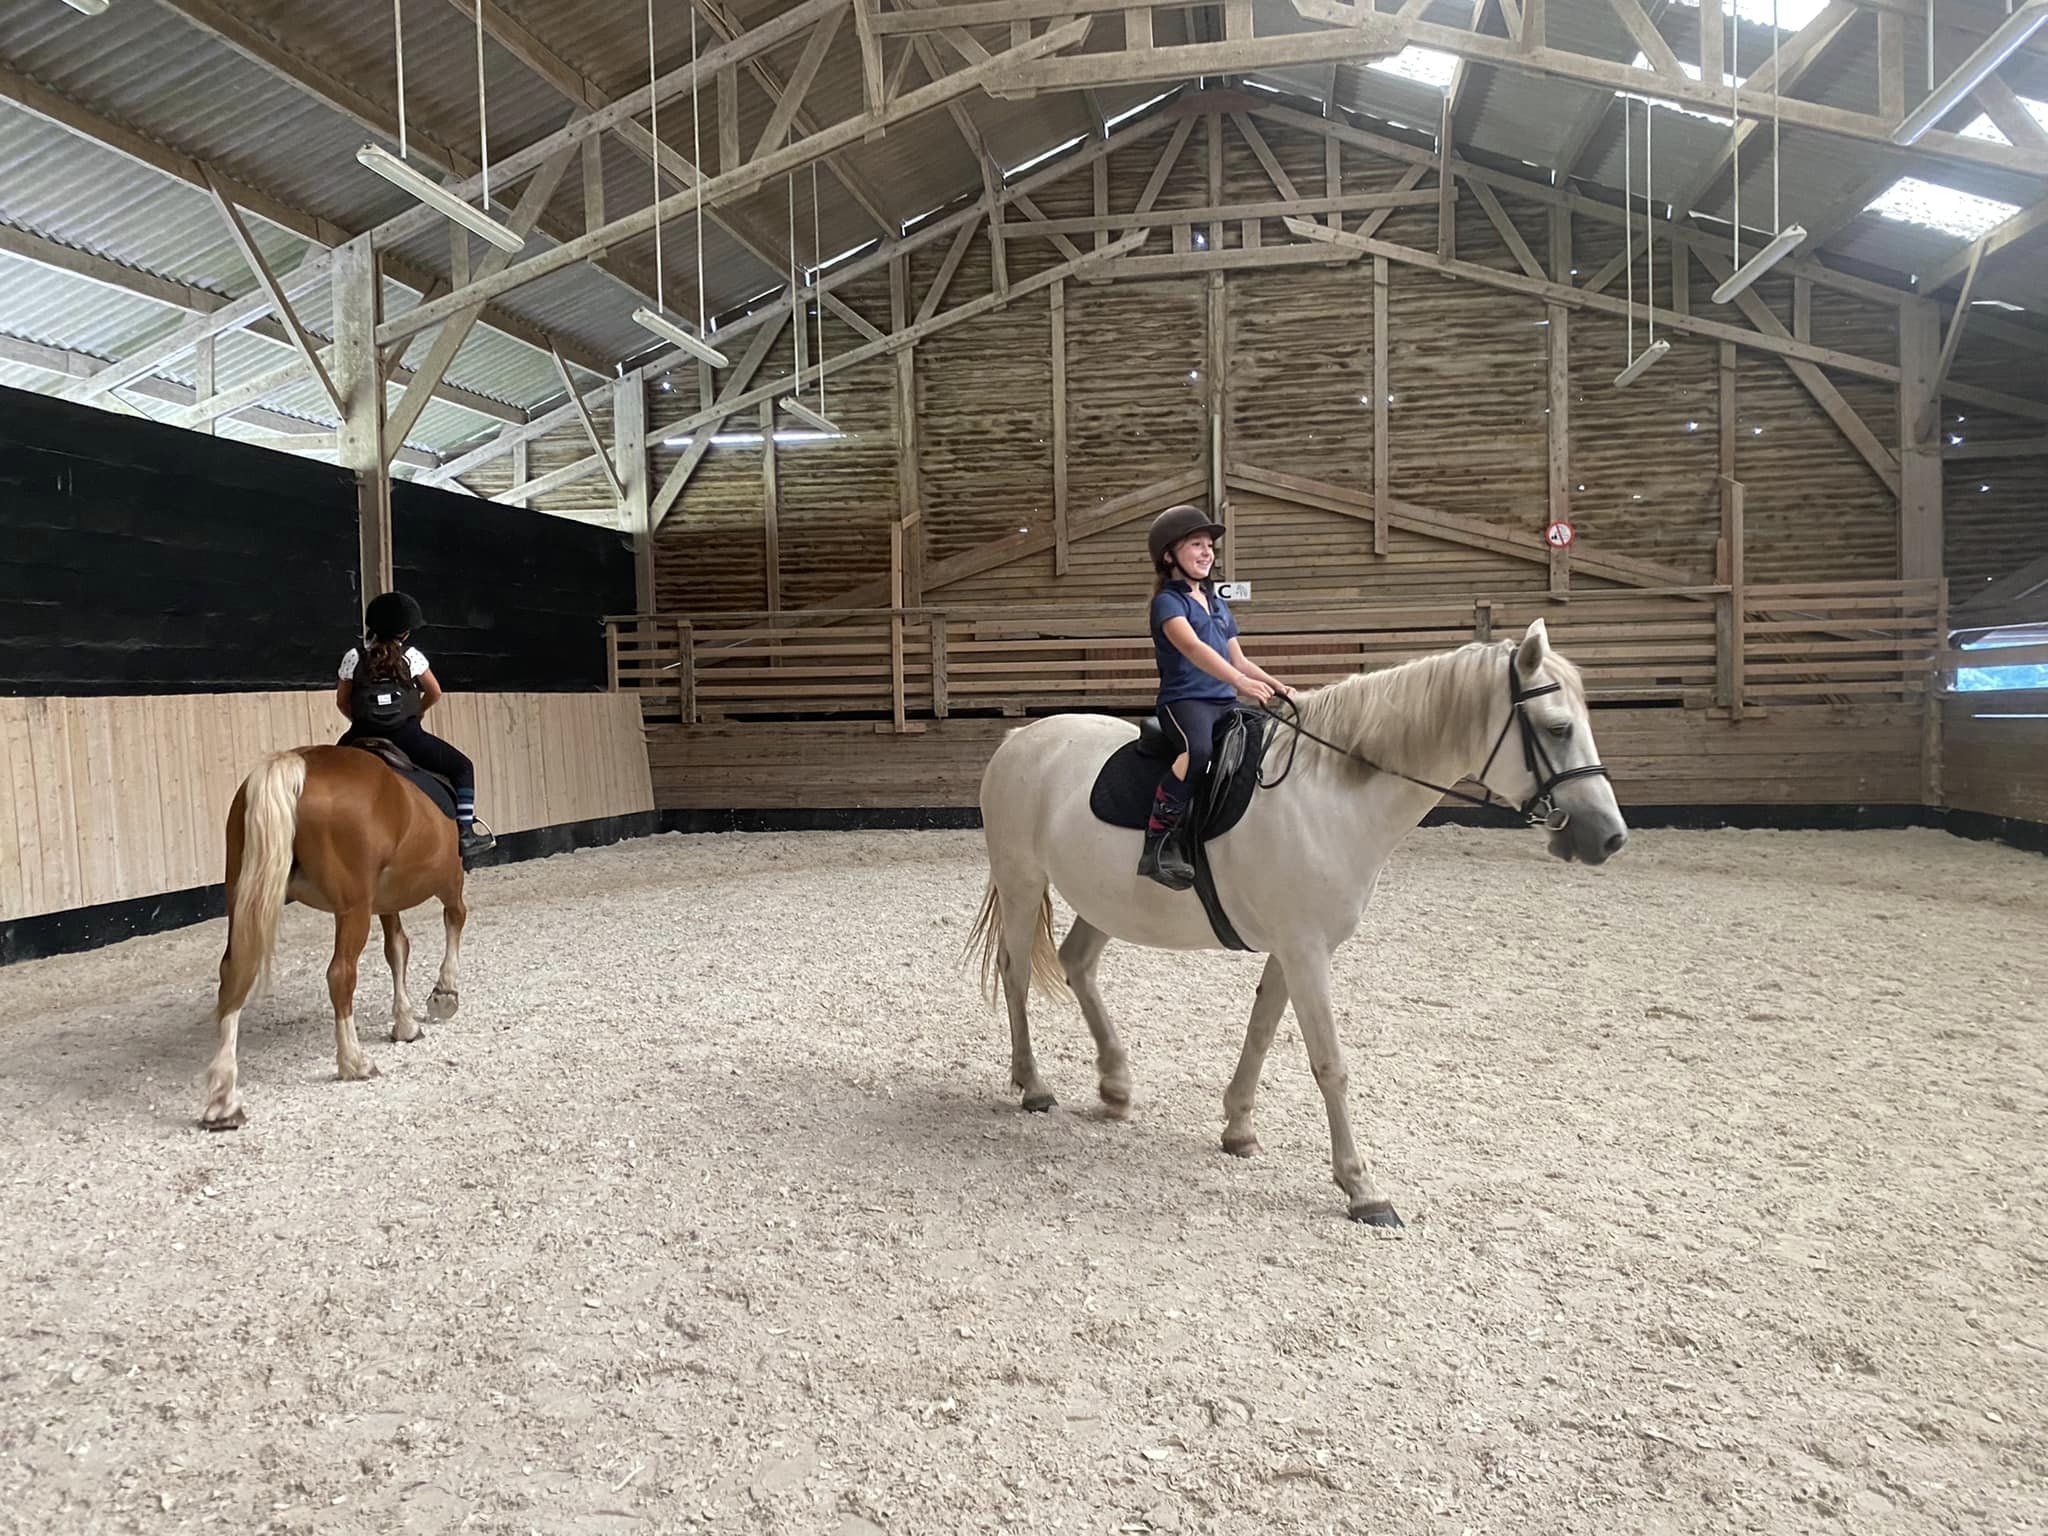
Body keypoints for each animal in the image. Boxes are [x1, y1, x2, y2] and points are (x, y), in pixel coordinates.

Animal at [202, 745, 468, 1130]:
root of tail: (297, 764)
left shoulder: (384, 901)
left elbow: (397, 948)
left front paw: (405, 1022)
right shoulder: (449, 879)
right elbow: (454, 920)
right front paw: (444, 994)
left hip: (243, 901)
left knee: (233, 976)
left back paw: (223, 1102)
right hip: (352, 909)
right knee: (340, 975)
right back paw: (354, 1062)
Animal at [966, 618, 1622, 1236]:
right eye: (1558, 728)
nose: (1609, 837)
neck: (1330, 794)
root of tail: (1024, 739)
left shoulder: (1292, 947)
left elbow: (1260, 1032)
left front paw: (1238, 1130)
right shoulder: (1307, 951)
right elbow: (1330, 1064)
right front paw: (1363, 1190)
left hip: (1104, 901)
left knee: (1077, 964)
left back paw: (1116, 1086)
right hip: (1023, 882)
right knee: (1017, 974)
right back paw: (1033, 1085)